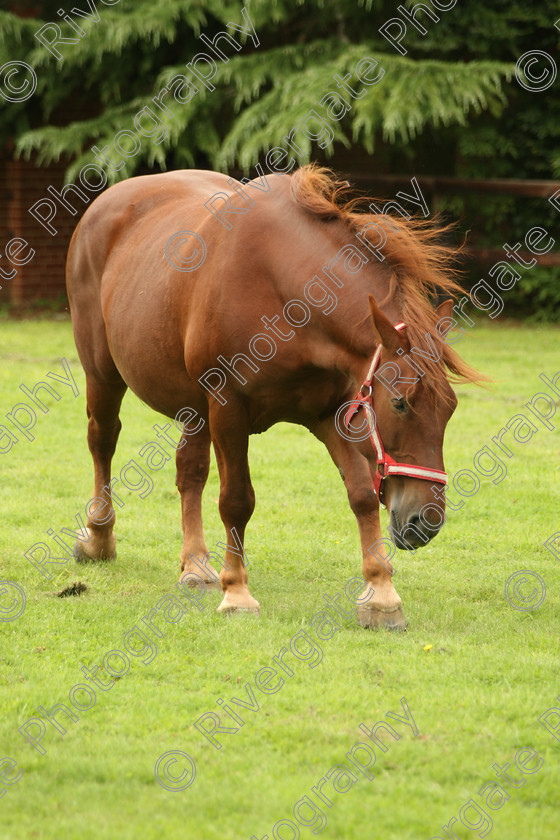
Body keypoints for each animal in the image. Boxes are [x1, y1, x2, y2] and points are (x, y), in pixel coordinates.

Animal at [65, 164, 476, 632]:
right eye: (401, 403)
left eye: (450, 409)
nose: (427, 521)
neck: (286, 293)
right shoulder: (228, 409)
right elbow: (237, 501)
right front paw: (237, 593)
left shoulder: (333, 412)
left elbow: (361, 495)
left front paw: (381, 593)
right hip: (104, 376)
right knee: (103, 442)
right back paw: (99, 537)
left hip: (195, 408)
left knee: (190, 471)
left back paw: (196, 564)